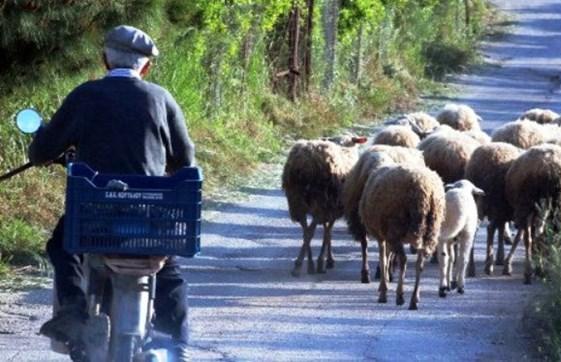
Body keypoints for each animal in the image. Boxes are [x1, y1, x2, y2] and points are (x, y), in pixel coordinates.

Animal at [282, 136, 366, 278]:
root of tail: (306, 162)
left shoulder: (330, 208)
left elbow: (327, 230)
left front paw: (326, 260)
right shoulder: (332, 207)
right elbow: (328, 232)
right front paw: (326, 261)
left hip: (296, 201)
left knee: (305, 231)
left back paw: (305, 265)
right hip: (320, 201)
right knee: (310, 232)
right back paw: (305, 265)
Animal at [342, 144, 424, 282]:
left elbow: (385, 250)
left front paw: (385, 271)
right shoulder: (361, 221)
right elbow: (365, 245)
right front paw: (365, 273)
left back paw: (389, 268)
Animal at [356, 164, 444, 308]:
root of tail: (426, 189)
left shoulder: (383, 236)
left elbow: (383, 259)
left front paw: (383, 291)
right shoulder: (386, 235)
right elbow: (387, 256)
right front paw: (384, 284)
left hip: (396, 228)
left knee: (403, 259)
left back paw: (400, 296)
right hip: (430, 231)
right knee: (420, 263)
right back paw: (414, 299)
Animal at [464, 142, 520, 274]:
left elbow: (501, 230)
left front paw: (500, 258)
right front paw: (505, 263)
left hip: (479, 201)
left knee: (476, 228)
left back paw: (471, 268)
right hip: (495, 202)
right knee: (490, 228)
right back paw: (488, 266)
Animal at [500, 144, 560, 282]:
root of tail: (548, 168)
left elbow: (523, 237)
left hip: (530, 206)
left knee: (533, 238)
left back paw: (532, 270)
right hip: (532, 206)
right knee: (535, 238)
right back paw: (535, 270)